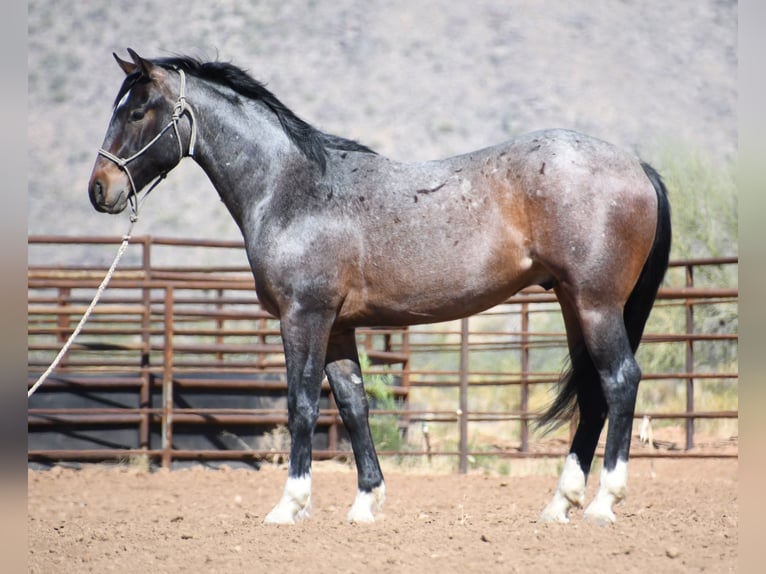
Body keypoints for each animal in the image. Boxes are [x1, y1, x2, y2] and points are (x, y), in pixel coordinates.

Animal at [88, 49, 671, 525]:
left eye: (137, 111)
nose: (100, 188)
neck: (293, 190)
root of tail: (636, 165)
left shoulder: (304, 316)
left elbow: (302, 404)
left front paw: (289, 505)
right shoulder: (338, 327)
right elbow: (353, 406)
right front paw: (366, 503)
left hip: (596, 305)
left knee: (620, 381)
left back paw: (602, 504)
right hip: (575, 305)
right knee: (593, 392)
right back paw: (560, 504)